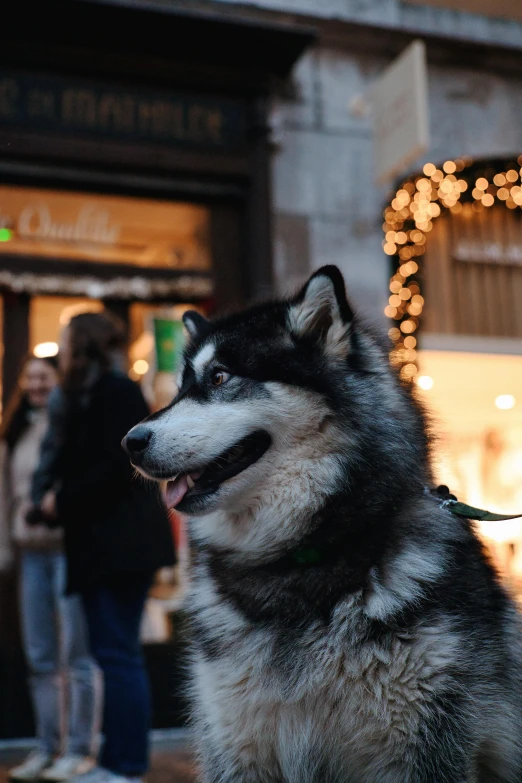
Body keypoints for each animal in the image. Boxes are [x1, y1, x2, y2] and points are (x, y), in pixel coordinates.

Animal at [123, 266, 520, 780]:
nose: (130, 442)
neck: (294, 563)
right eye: (180, 390)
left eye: (220, 376)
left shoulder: (426, 748)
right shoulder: (235, 745)